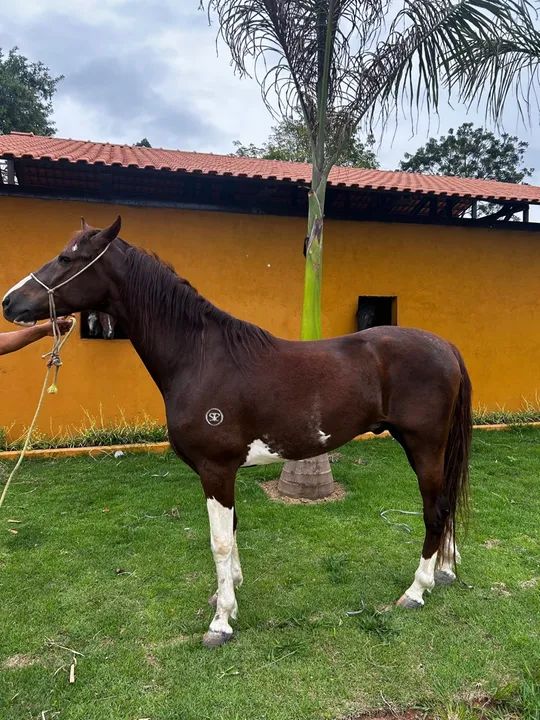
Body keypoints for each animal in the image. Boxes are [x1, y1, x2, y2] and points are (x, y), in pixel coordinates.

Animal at [2, 217, 472, 648]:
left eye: (68, 258)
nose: (10, 302)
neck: (200, 357)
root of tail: (446, 346)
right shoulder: (222, 473)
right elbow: (233, 532)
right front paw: (229, 592)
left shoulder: (215, 470)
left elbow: (220, 543)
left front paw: (221, 622)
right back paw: (446, 570)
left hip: (424, 446)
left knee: (435, 510)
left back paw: (416, 590)